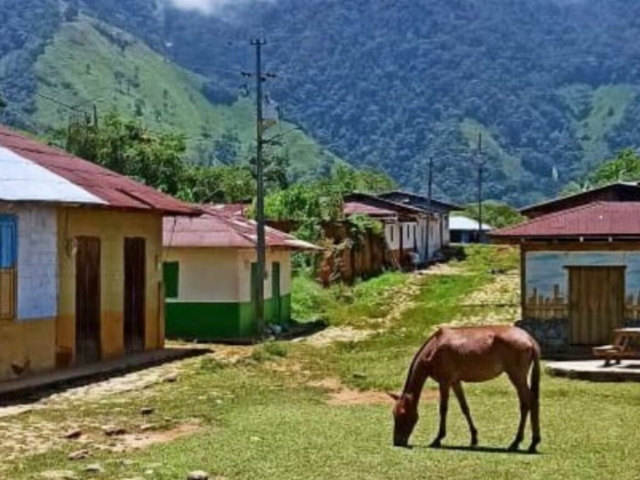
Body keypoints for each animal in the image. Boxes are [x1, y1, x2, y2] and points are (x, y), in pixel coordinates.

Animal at [389, 325, 541, 453]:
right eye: (393, 413)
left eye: (402, 414)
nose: (397, 442)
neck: (434, 347)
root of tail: (529, 338)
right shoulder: (455, 382)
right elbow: (465, 408)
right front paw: (474, 438)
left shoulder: (444, 382)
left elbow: (443, 409)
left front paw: (438, 438)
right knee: (525, 404)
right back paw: (523, 442)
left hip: (517, 377)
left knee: (531, 402)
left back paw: (527, 442)